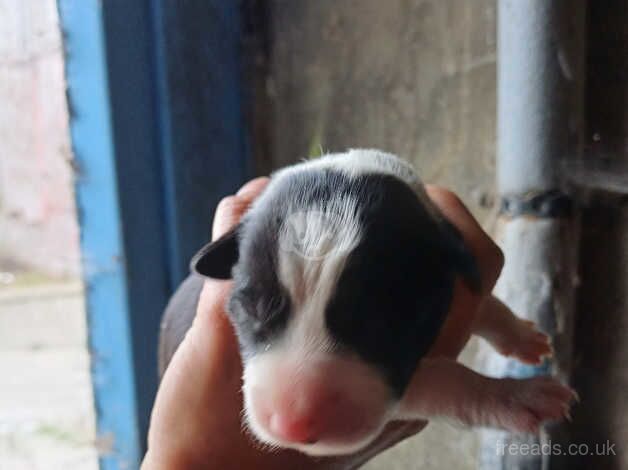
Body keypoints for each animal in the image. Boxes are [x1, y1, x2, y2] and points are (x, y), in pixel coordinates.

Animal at [159, 150, 576, 456]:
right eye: (252, 306)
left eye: (381, 317)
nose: (292, 427)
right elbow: (442, 379)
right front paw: (517, 397)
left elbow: (482, 302)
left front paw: (519, 335)